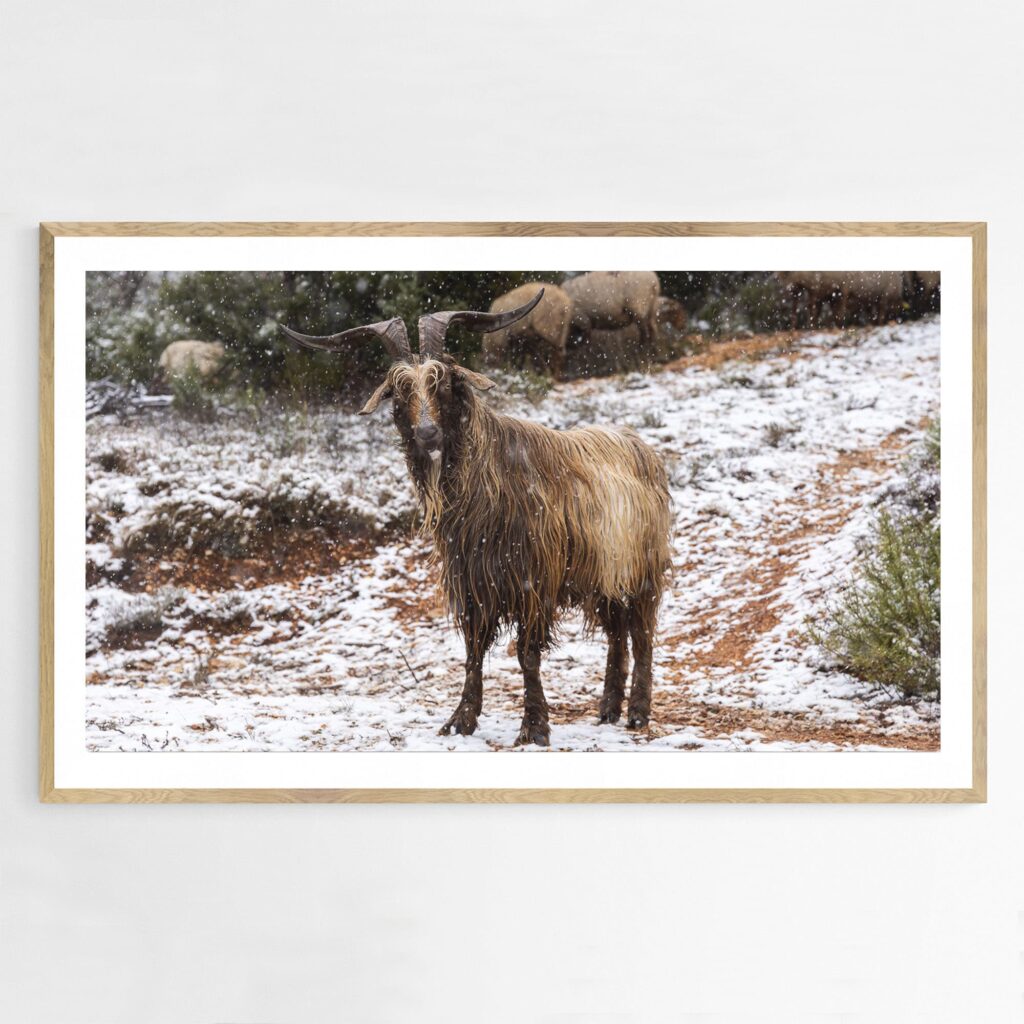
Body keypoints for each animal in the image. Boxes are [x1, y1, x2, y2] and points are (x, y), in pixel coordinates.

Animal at [280, 292, 671, 749]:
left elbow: (527, 654)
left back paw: (638, 713)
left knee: (641, 635)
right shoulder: (472, 584)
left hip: (642, 572)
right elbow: (472, 652)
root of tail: (640, 446)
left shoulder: (533, 582)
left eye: (444, 381)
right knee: (616, 635)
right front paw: (460, 720)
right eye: (399, 389)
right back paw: (608, 709)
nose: (428, 435)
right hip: (602, 578)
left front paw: (534, 727)